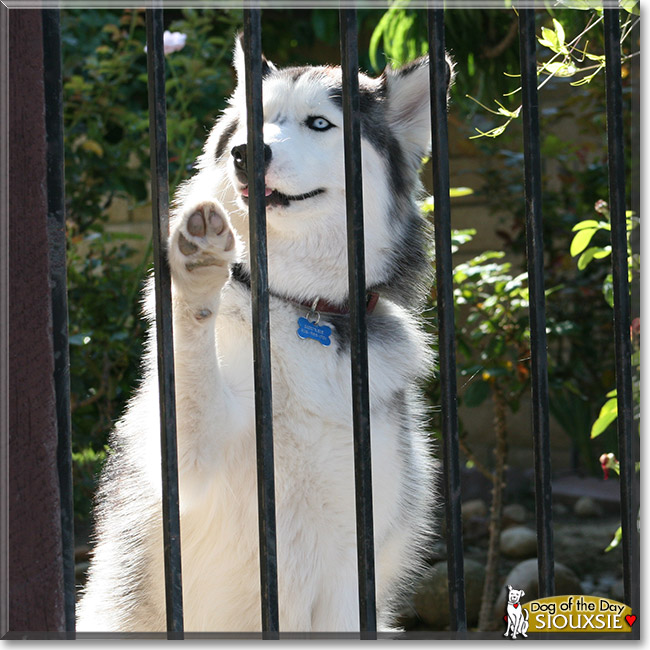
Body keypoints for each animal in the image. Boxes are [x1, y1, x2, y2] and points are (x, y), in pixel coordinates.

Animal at [77, 36, 450, 632]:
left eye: (319, 123)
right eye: (252, 123)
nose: (247, 153)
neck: (298, 307)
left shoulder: (352, 574)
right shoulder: (188, 463)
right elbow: (191, 358)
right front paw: (197, 271)